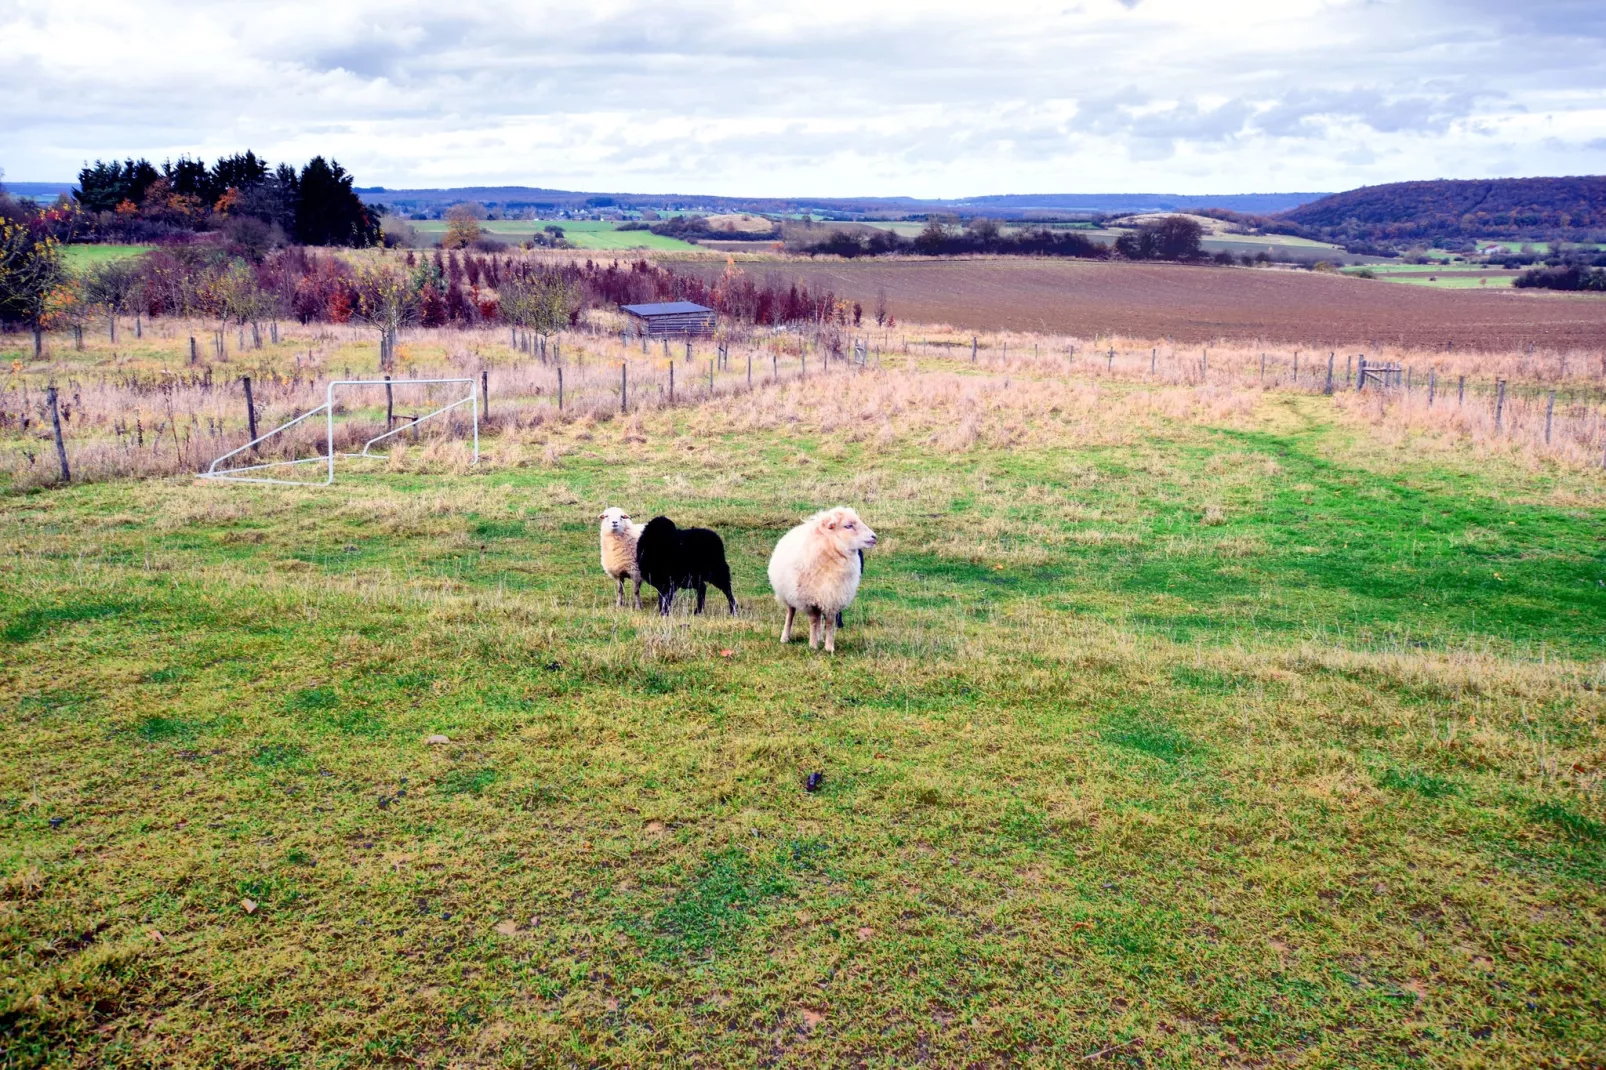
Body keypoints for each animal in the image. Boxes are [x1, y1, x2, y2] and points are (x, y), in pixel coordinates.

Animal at [764, 501, 880, 649]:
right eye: (848, 526)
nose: (874, 537)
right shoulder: (809, 599)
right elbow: (813, 621)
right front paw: (813, 646)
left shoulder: (833, 597)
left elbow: (829, 623)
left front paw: (829, 647)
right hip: (789, 593)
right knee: (791, 613)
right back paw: (785, 637)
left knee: (820, 618)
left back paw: (819, 638)